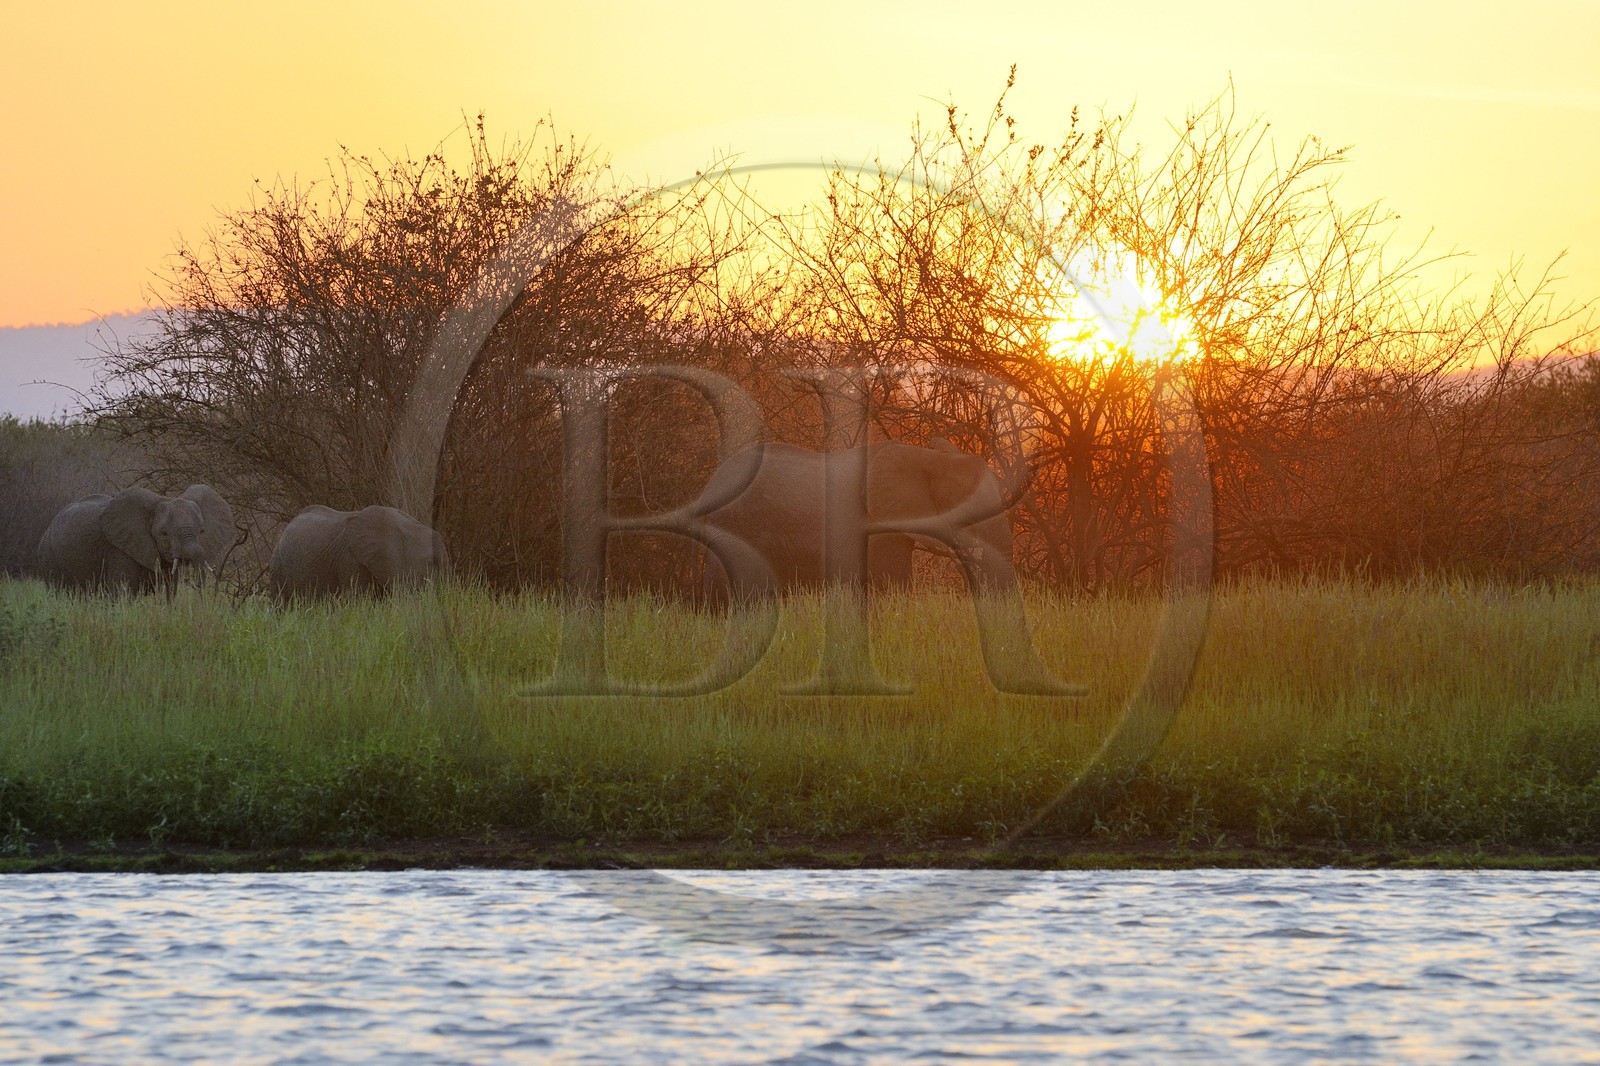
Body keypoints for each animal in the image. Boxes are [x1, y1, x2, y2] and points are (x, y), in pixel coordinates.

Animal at [36, 485, 236, 595]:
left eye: (201, 530)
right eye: (163, 533)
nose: (198, 586)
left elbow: (171, 589)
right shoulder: (119, 550)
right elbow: (121, 592)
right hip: (49, 558)